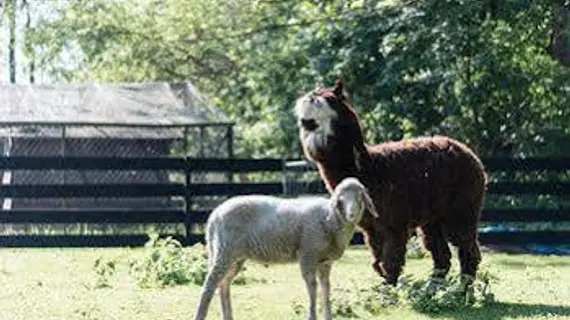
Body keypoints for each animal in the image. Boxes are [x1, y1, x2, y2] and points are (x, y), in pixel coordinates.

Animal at [193, 178, 374, 320]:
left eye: (359, 196)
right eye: (341, 199)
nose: (351, 214)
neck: (330, 218)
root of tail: (214, 215)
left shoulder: (325, 262)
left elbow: (326, 287)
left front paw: (328, 316)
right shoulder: (308, 253)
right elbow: (312, 286)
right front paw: (312, 316)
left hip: (233, 256)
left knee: (224, 283)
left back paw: (228, 316)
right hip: (225, 250)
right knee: (210, 284)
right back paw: (200, 315)